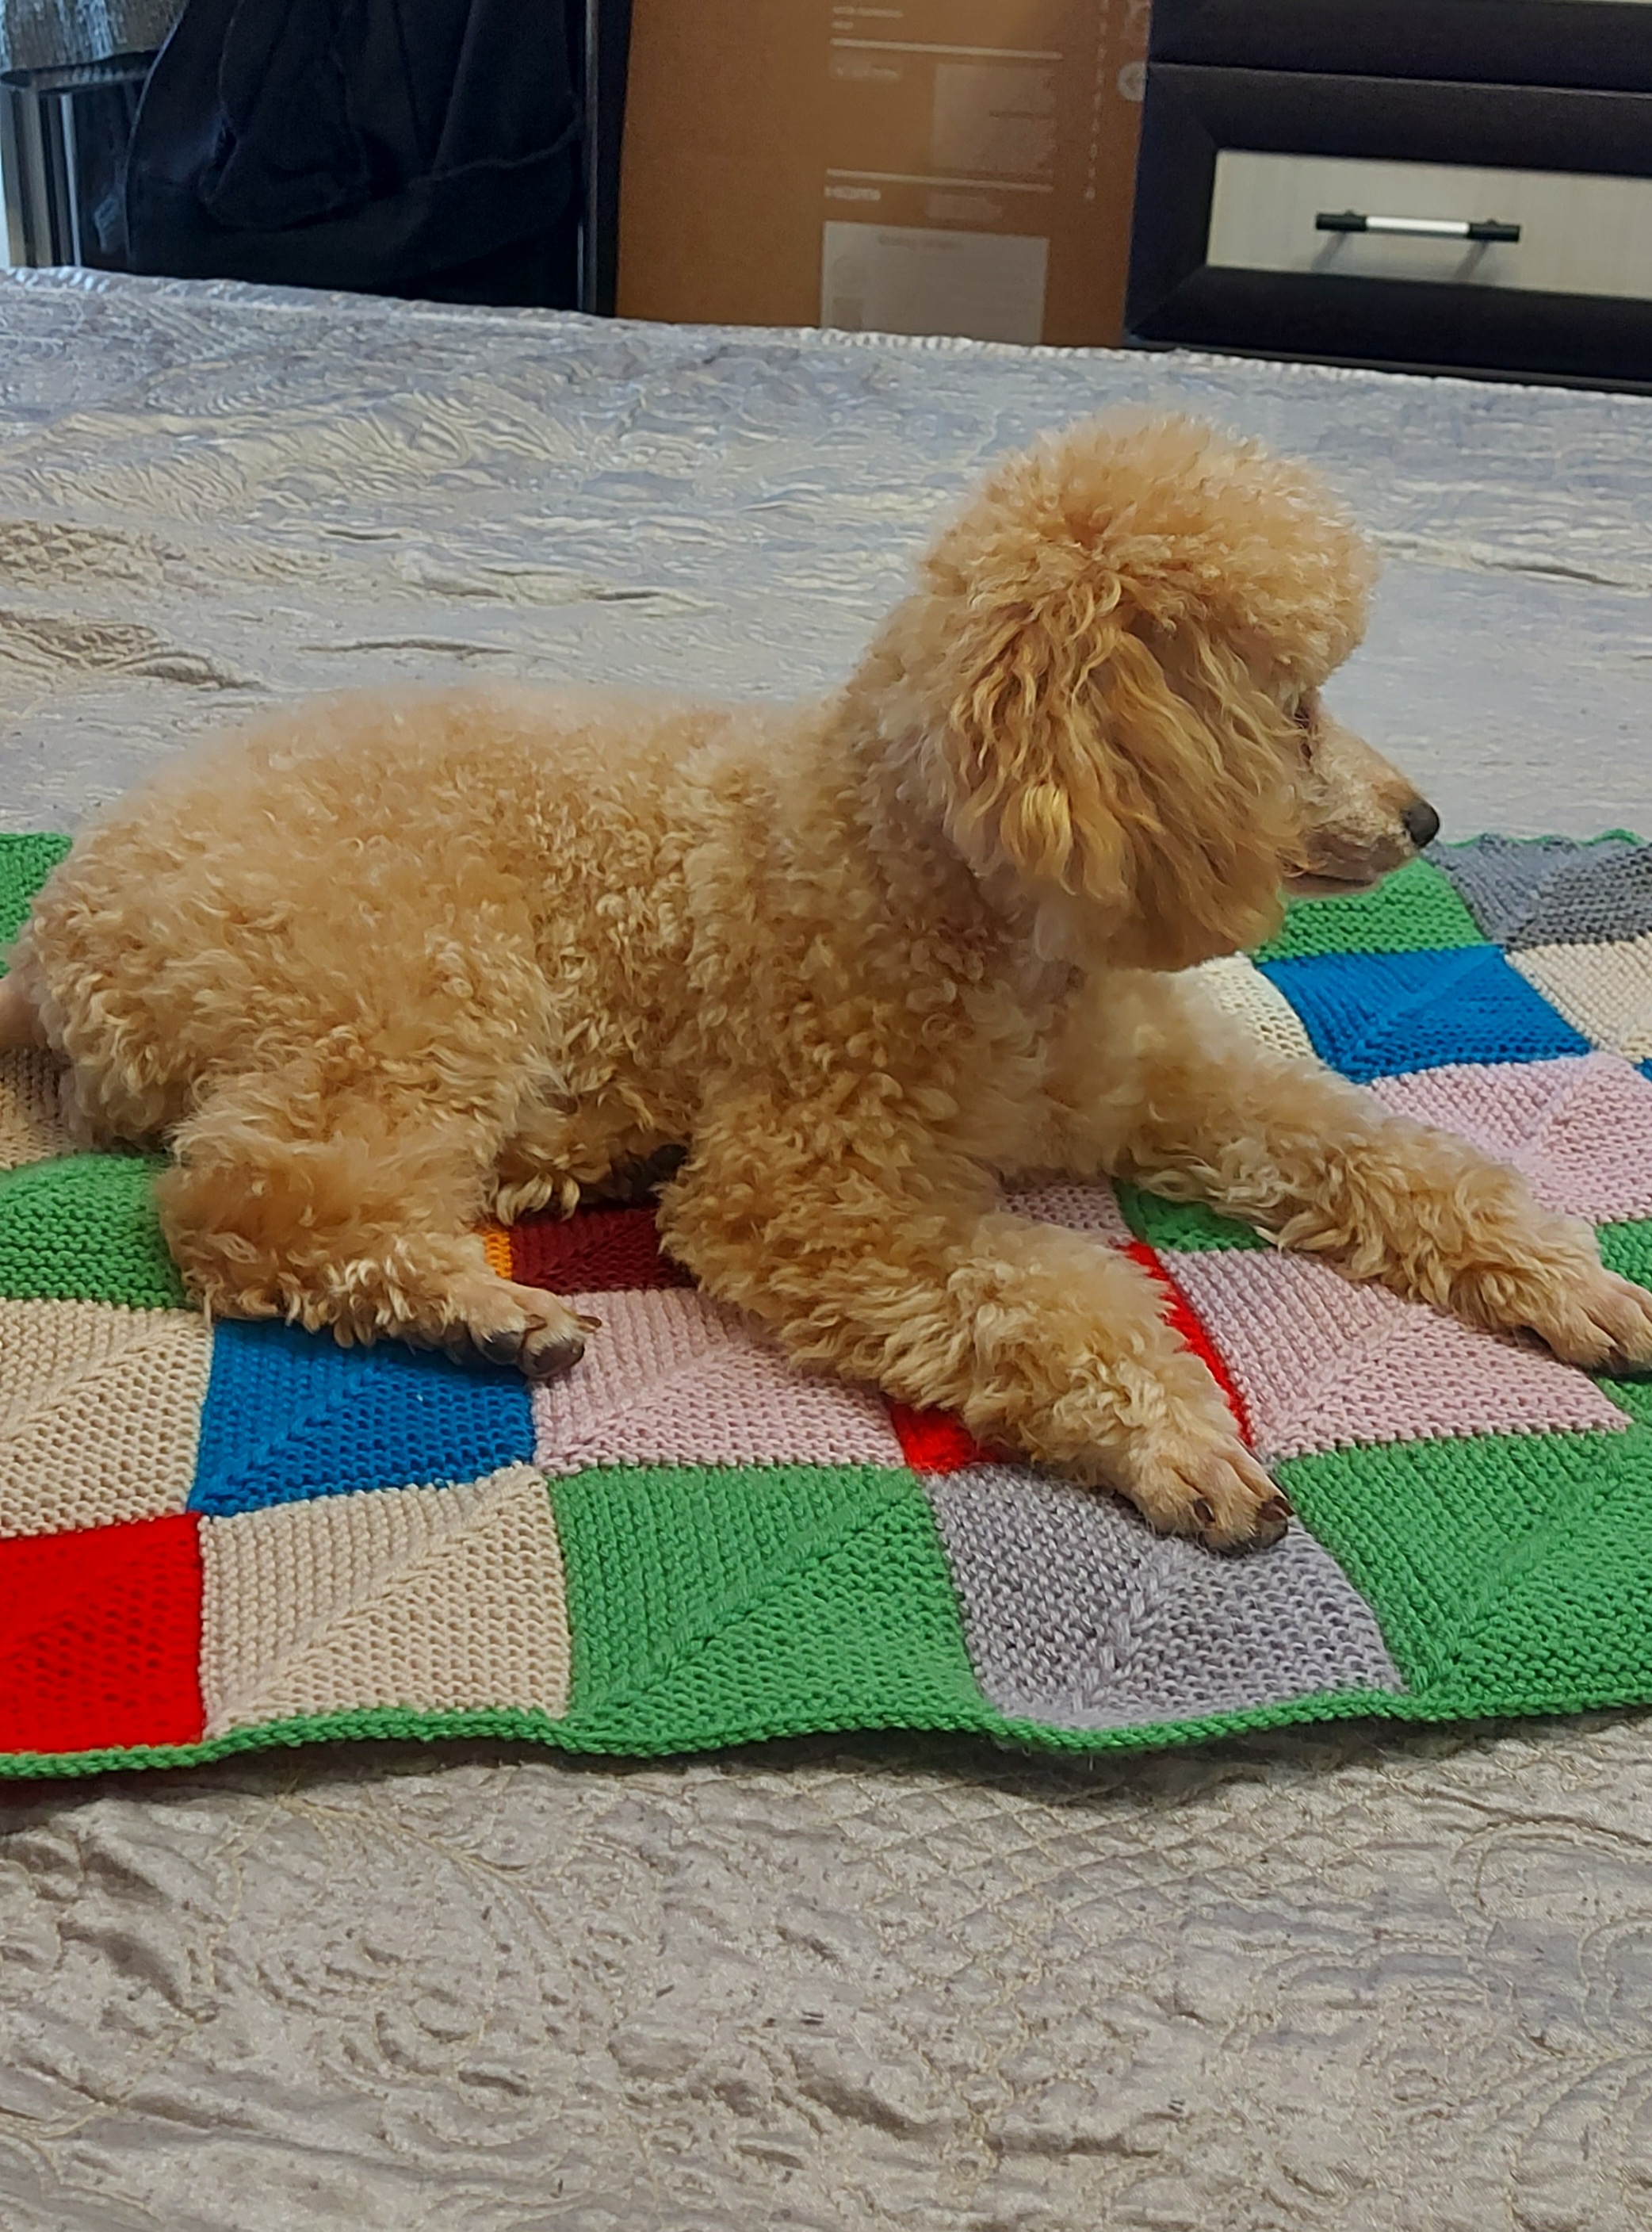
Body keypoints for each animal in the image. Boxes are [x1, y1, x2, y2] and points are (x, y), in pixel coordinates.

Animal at [4, 413, 1648, 1550]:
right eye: (1292, 709)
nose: (1424, 821)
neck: (972, 907)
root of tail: (53, 942)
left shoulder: (1168, 1084)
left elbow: (1377, 1151)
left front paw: (1567, 1284)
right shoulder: (799, 1188)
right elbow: (1035, 1287)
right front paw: (1166, 1430)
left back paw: (562, 1166)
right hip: (420, 984)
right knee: (247, 1203)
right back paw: (475, 1310)